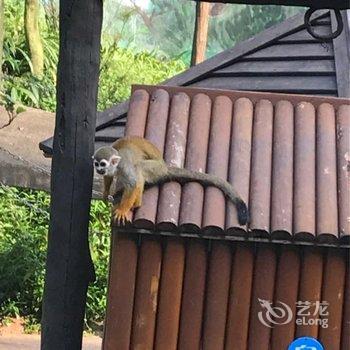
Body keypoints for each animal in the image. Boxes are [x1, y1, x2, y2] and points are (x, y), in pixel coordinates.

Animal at [93, 135, 249, 226]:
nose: (99, 169)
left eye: (103, 164)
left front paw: (122, 210)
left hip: (155, 169)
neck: (116, 166)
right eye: (97, 164)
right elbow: (108, 177)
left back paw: (136, 204)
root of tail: (165, 167)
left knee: (139, 169)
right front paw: (105, 194)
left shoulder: (124, 165)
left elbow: (133, 182)